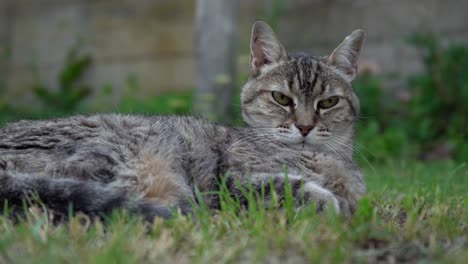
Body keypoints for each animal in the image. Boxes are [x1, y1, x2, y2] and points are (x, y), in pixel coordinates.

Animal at [0, 21, 366, 222]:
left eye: (328, 102)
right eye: (281, 99)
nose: (304, 127)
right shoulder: (232, 181)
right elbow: (293, 187)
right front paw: (333, 205)